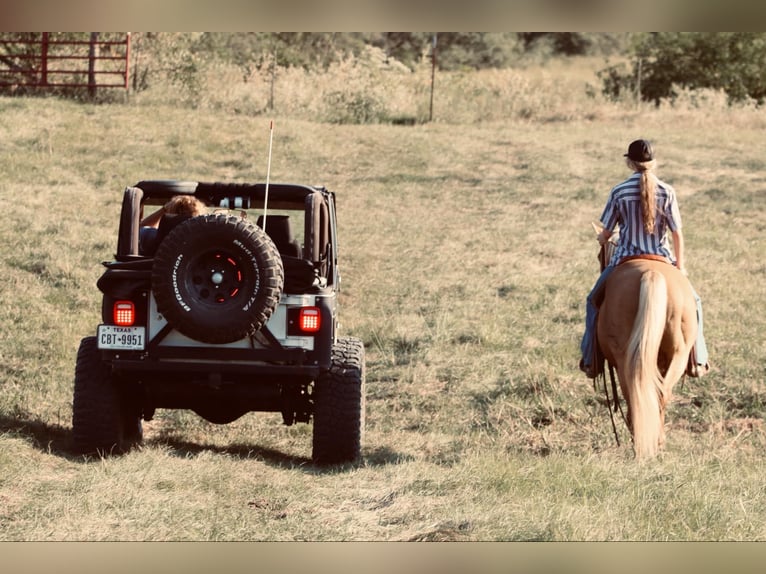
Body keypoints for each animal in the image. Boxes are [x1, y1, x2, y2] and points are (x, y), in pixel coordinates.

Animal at [596, 230, 700, 460]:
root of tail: (651, 274)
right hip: (677, 356)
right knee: (660, 393)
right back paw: (655, 441)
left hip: (624, 362)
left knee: (636, 396)